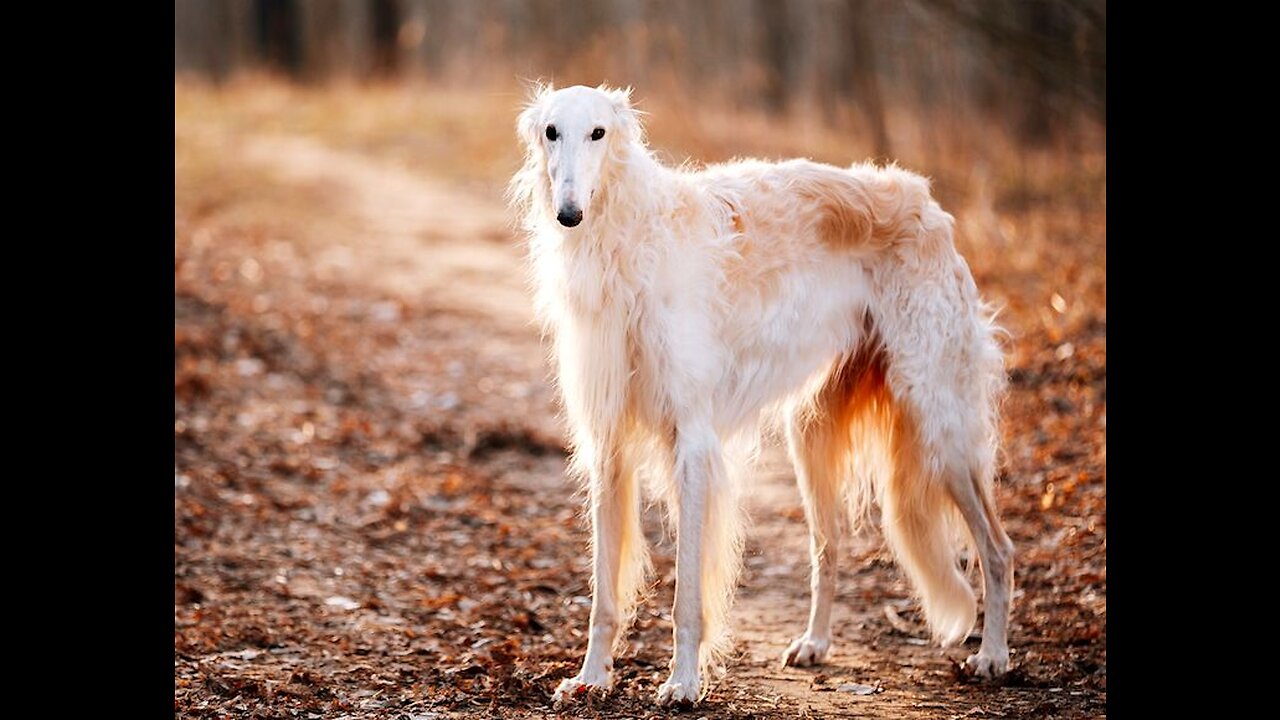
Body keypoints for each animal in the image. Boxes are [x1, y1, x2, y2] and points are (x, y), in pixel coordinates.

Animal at [504, 81, 1013, 702]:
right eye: (551, 131)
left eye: (598, 132)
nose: (569, 214)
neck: (629, 241)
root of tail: (928, 204)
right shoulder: (609, 444)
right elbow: (604, 593)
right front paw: (590, 678)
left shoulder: (692, 441)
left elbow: (687, 595)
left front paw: (683, 682)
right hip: (812, 434)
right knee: (828, 546)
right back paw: (815, 643)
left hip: (941, 425)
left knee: (998, 549)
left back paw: (993, 655)